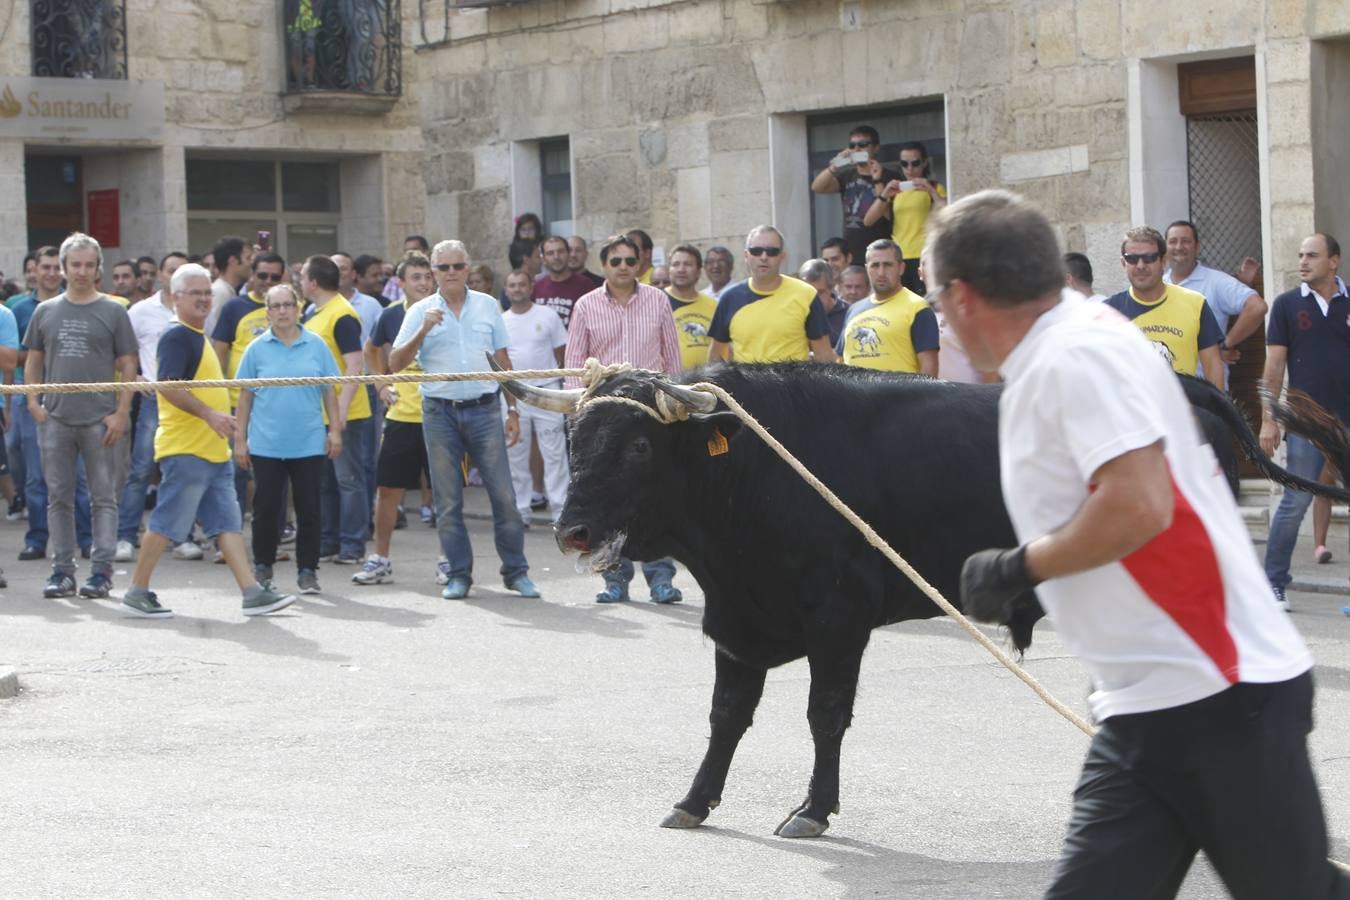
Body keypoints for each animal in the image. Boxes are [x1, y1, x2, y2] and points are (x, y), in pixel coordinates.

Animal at [504, 361, 1350, 841]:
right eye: (575, 442)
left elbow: (824, 715)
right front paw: (695, 800)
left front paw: (812, 809)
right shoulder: (739, 619)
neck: (751, 470)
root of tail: (1193, 387)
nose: (572, 532)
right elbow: (726, 717)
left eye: (640, 446)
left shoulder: (838, 616)